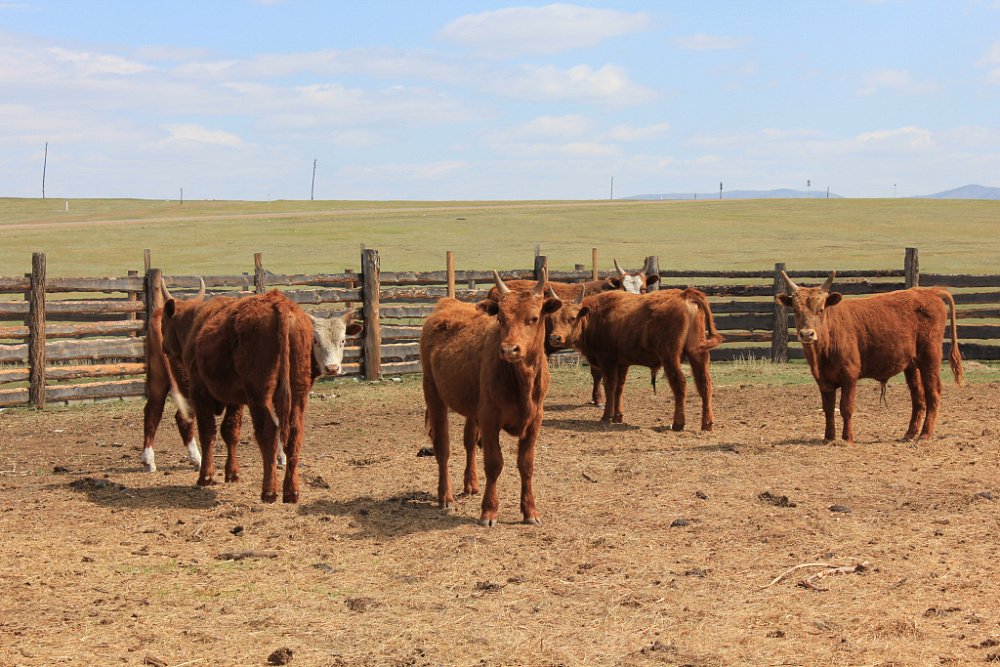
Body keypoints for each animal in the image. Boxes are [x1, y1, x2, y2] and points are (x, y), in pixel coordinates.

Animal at [420, 268, 564, 524]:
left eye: (534, 318)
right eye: (500, 319)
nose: (508, 349)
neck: (521, 381)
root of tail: (447, 303)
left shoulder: (535, 419)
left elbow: (526, 464)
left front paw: (530, 511)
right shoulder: (489, 418)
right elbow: (494, 463)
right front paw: (489, 511)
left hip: (471, 406)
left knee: (468, 441)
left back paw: (471, 484)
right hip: (433, 393)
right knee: (442, 447)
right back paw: (445, 496)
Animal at [772, 268, 960, 446]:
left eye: (821, 309)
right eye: (795, 310)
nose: (807, 334)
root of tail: (929, 292)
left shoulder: (850, 375)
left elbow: (846, 407)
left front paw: (847, 438)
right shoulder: (823, 380)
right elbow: (828, 409)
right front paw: (828, 438)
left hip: (930, 358)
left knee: (933, 393)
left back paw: (924, 435)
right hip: (912, 365)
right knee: (918, 398)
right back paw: (910, 434)